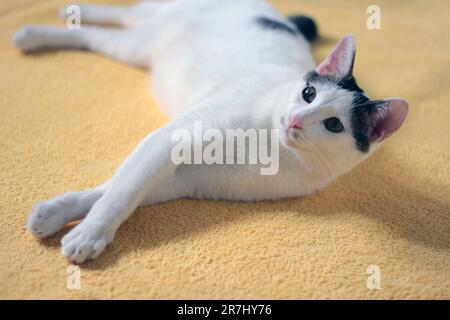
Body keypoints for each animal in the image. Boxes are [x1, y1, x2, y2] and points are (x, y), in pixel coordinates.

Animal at [14, 0, 408, 264]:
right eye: (308, 94)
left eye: (334, 125)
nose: (295, 120)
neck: (269, 147)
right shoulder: (169, 140)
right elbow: (122, 192)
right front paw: (90, 232)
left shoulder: (182, 179)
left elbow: (113, 190)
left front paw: (59, 216)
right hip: (145, 33)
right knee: (114, 19)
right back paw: (47, 26)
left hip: (137, 47)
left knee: (105, 31)